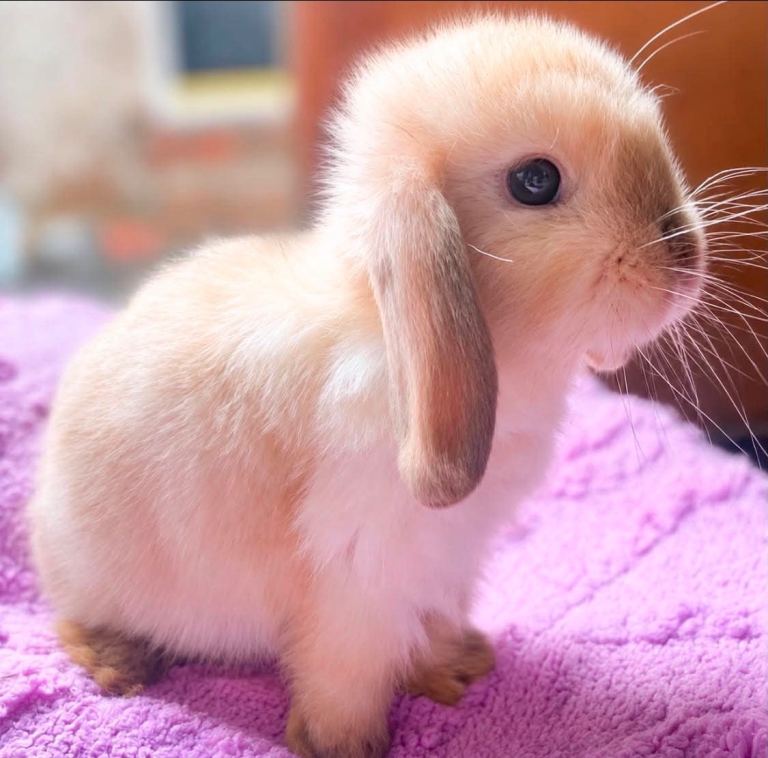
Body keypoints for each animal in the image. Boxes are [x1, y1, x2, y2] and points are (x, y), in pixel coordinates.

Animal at [29, 14, 706, 758]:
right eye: (535, 181)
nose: (685, 257)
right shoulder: (359, 574)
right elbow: (344, 671)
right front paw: (342, 744)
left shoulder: (446, 565)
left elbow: (432, 625)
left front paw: (456, 670)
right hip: (96, 575)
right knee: (71, 620)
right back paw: (118, 664)